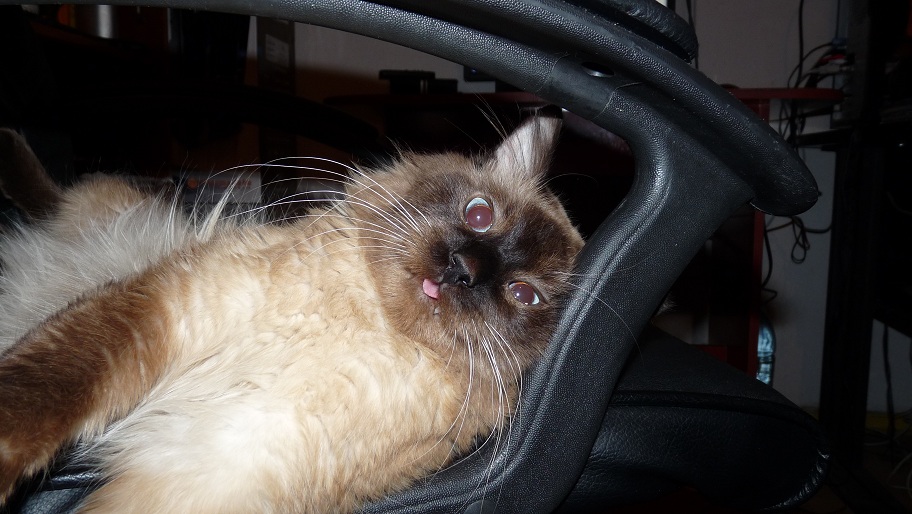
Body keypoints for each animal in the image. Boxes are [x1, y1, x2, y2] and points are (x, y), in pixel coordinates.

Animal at [0, 114, 584, 513]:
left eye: (523, 294)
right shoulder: (170, 307)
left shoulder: (210, 475)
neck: (365, 324)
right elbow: (45, 388)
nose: (463, 269)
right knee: (56, 200)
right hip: (120, 209)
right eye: (480, 214)